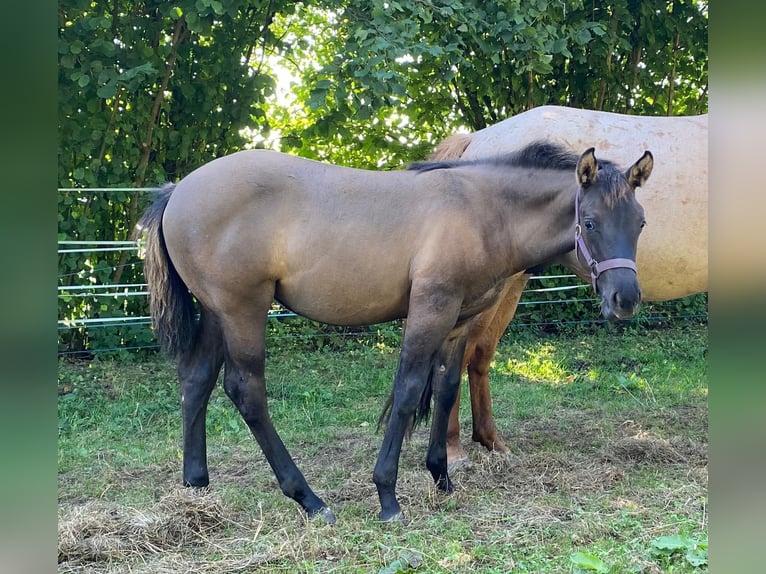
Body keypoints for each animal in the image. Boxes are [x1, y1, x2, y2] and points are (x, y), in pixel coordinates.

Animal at [136, 141, 656, 528]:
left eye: (640, 223)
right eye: (589, 222)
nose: (625, 300)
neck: (481, 211)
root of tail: (178, 190)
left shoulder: (459, 321)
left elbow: (445, 389)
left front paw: (442, 478)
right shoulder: (429, 310)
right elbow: (407, 392)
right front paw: (388, 496)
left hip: (216, 313)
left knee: (196, 381)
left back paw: (197, 488)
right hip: (243, 310)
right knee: (246, 392)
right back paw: (309, 499)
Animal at [432, 107, 708, 468]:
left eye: (642, 223)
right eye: (588, 223)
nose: (626, 299)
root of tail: (475, 139)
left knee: (480, 354)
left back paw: (492, 442)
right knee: (458, 355)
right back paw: (453, 450)